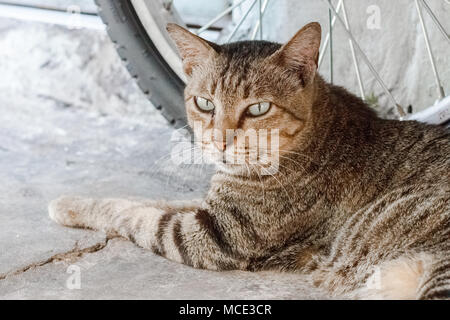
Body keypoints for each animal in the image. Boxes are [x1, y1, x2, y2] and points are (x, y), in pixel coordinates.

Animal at [47, 23, 448, 300]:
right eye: (205, 103)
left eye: (258, 108)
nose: (220, 141)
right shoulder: (210, 209)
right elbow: (150, 201)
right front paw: (74, 201)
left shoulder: (213, 235)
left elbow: (136, 216)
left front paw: (70, 206)